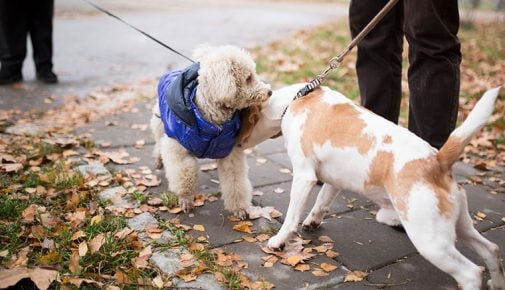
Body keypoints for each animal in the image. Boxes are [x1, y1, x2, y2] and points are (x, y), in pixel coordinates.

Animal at [150, 45, 270, 219]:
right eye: (248, 78)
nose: (269, 92)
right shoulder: (178, 149)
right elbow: (183, 175)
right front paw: (185, 199)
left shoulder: (230, 153)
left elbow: (235, 182)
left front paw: (239, 209)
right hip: (161, 124)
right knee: (159, 143)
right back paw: (159, 160)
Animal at [237, 84, 504, 290]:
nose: (236, 144)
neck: (297, 98)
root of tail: (436, 160)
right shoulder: (333, 180)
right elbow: (322, 202)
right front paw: (313, 222)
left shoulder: (304, 176)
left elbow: (292, 216)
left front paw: (278, 241)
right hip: (459, 228)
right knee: (491, 250)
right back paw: (497, 283)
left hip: (431, 242)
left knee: (471, 273)